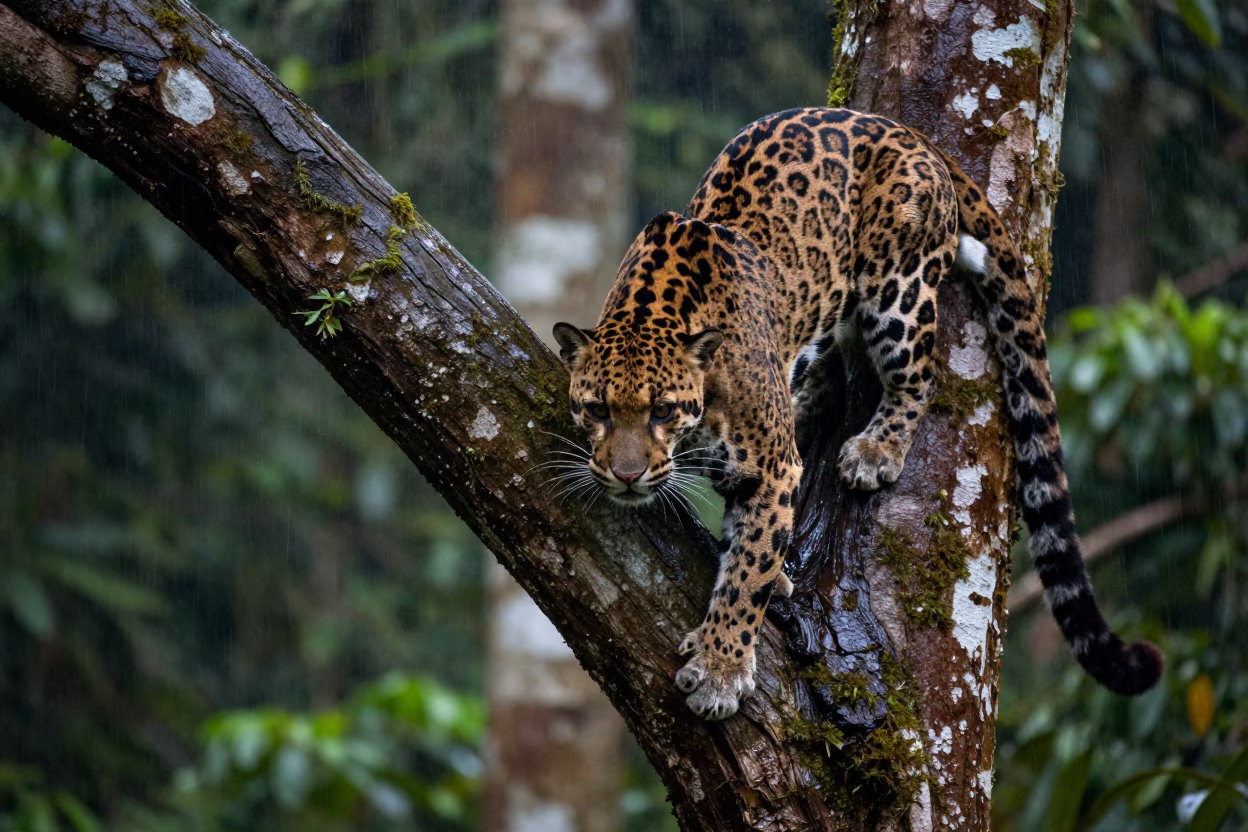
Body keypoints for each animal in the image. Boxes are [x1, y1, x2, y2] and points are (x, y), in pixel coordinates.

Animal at [552, 107, 1163, 721]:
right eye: (597, 410)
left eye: (662, 411)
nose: (627, 476)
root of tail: (900, 130)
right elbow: (745, 545)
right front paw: (766, 591)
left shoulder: (771, 467)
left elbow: (747, 572)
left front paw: (721, 669)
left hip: (899, 292)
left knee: (920, 375)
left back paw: (876, 449)